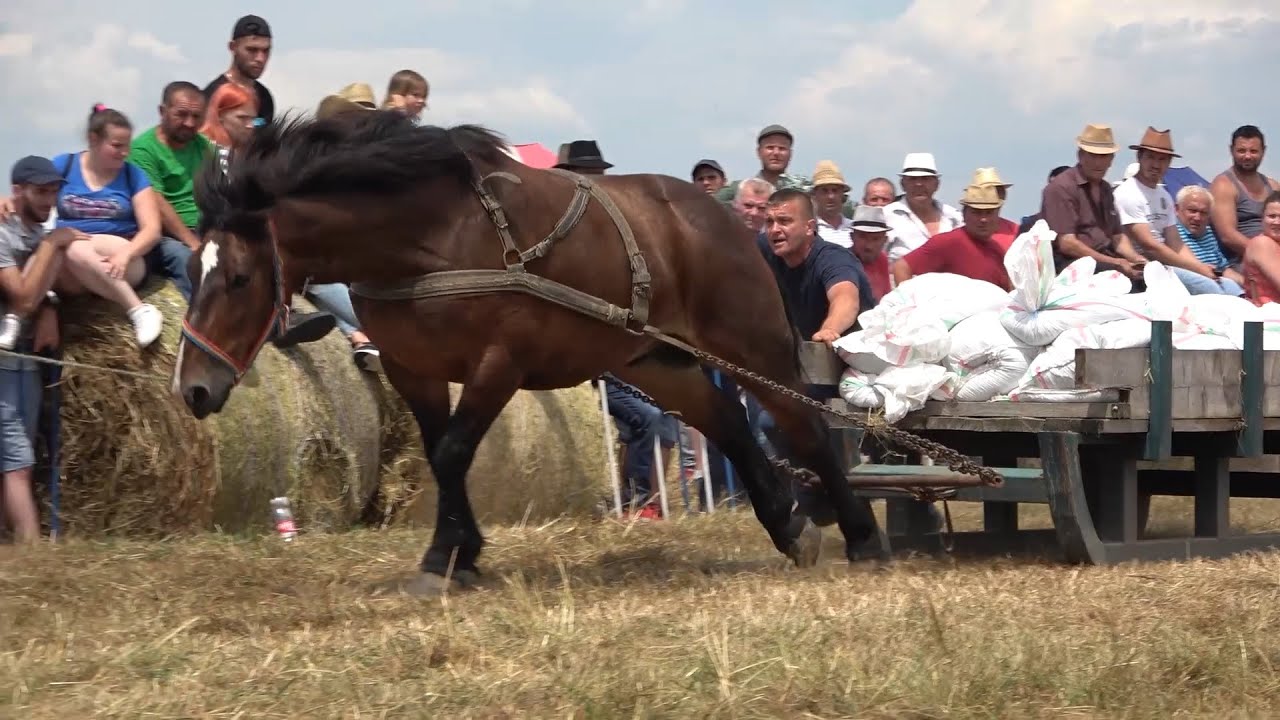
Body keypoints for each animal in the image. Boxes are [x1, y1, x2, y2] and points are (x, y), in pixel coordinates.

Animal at [173, 109, 883, 593]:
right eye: (193, 271)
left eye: (238, 278)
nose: (194, 388)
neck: (432, 236)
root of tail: (729, 218)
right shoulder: (412, 368)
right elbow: (440, 455)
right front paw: (463, 552)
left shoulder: (499, 362)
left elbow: (453, 452)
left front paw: (443, 557)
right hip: (655, 361)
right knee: (730, 423)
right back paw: (789, 526)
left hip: (750, 345)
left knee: (806, 428)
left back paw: (863, 536)